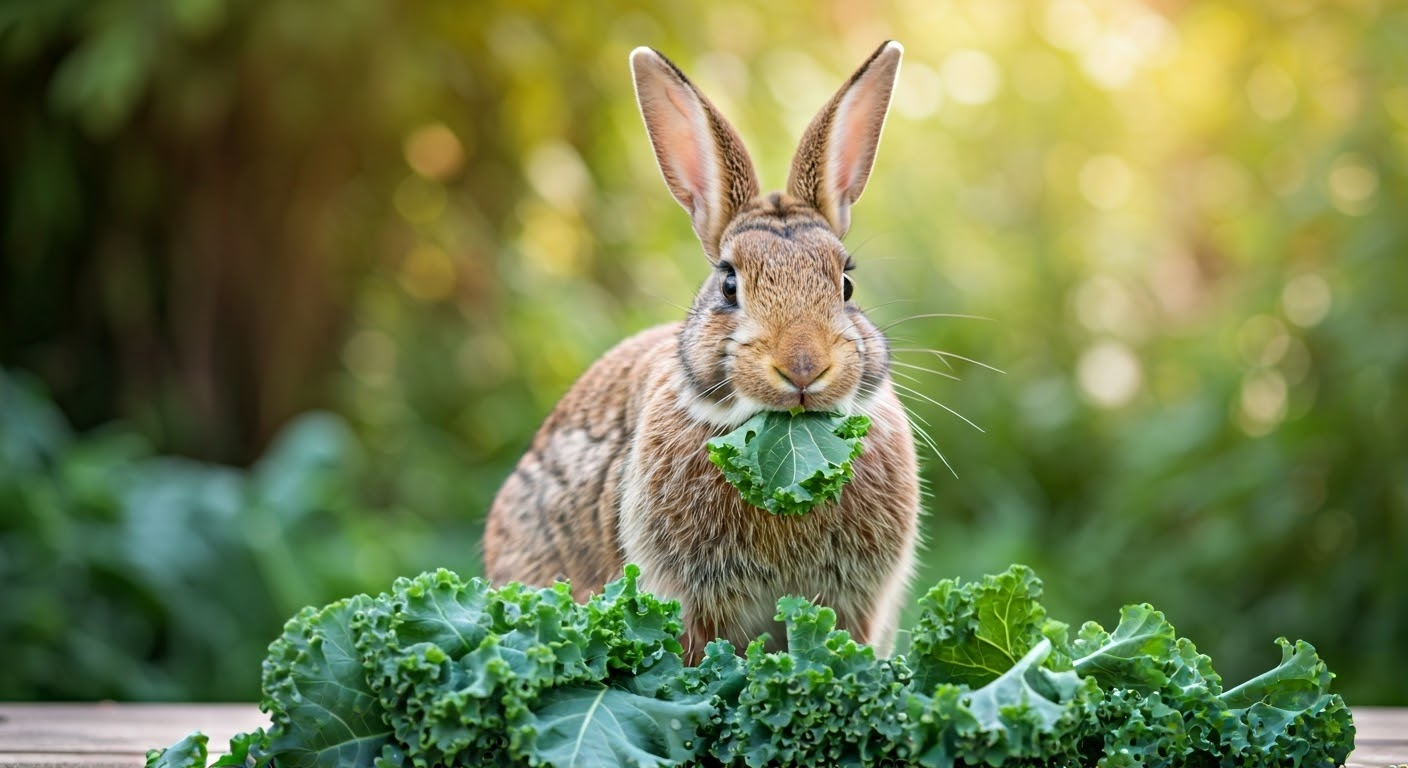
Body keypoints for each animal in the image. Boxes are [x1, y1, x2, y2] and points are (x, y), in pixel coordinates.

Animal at [484, 41, 923, 662]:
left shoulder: (853, 604)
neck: (786, 450)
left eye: (846, 284)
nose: (803, 367)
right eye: (729, 284)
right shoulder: (688, 602)